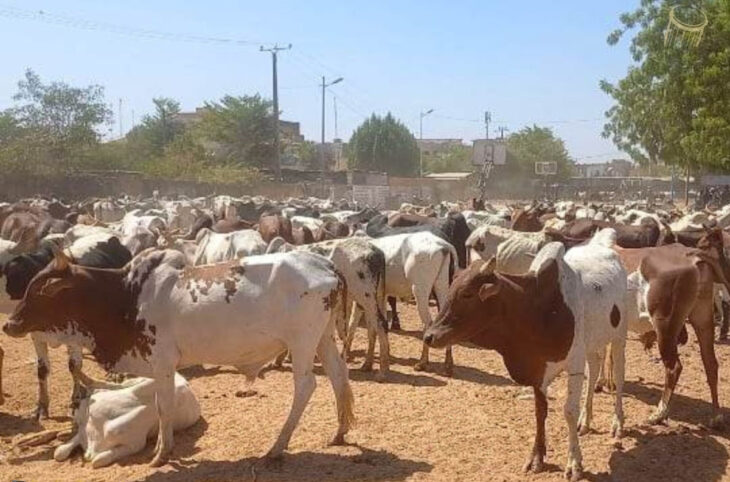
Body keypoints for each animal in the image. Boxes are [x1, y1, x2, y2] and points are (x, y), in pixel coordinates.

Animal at [54, 372, 200, 466]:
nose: (73, 403)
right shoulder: (83, 429)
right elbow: (60, 453)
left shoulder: (134, 445)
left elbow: (98, 460)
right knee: (118, 385)